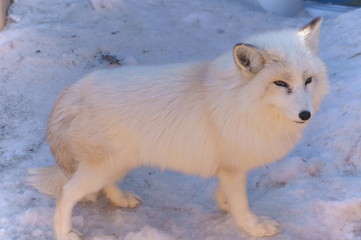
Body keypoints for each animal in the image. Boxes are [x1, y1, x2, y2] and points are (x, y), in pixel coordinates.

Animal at [28, 17, 326, 239]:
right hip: (102, 167)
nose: (306, 114)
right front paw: (253, 227)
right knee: (67, 194)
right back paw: (64, 233)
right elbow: (242, 206)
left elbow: (227, 195)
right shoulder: (233, 167)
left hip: (117, 163)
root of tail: (70, 92)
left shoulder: (229, 166)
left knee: (106, 185)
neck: (242, 101)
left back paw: (121, 199)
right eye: (280, 83)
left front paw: (225, 205)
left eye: (308, 80)